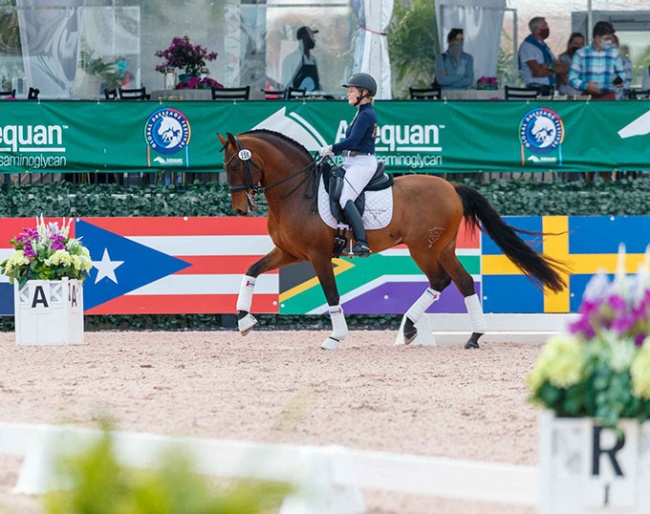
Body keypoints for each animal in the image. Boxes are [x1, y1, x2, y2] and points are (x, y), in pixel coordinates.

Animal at [216, 130, 560, 350]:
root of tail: (451, 187)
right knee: (459, 281)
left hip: (425, 248)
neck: (297, 191)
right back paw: (468, 335)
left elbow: (331, 294)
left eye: (235, 166)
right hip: (442, 249)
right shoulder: (289, 252)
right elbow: (251, 270)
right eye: (225, 167)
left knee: (441, 280)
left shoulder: (317, 255)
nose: (240, 209)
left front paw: (335, 338)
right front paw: (244, 321)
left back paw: (417, 328)